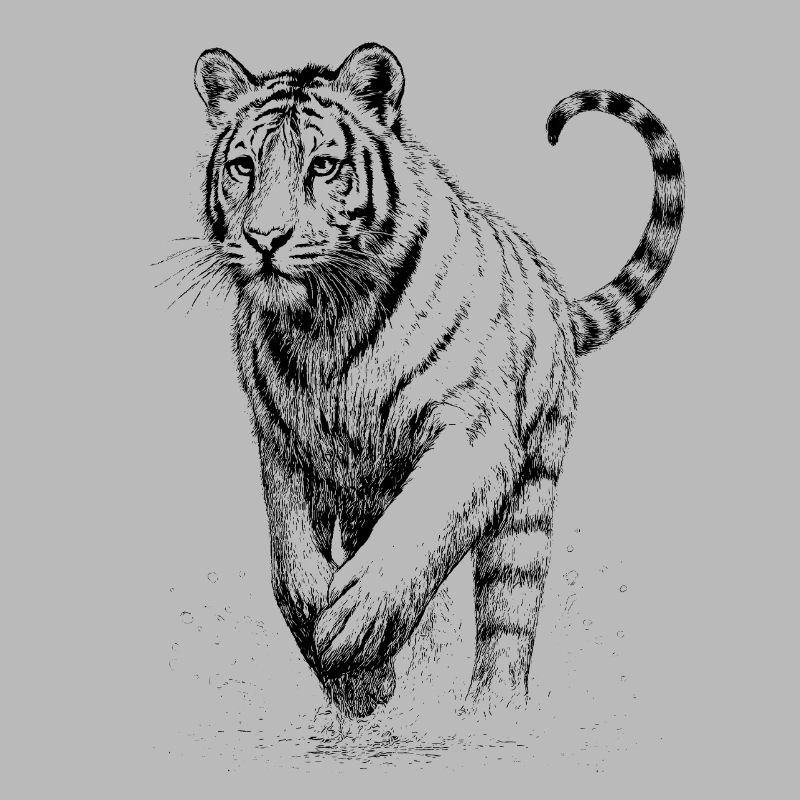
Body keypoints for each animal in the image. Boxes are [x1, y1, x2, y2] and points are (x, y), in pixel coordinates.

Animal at [187, 43, 684, 718]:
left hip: (531, 491)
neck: (323, 323)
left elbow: (419, 527)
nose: (264, 239)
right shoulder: (283, 441)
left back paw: (492, 713)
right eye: (243, 166)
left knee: (509, 609)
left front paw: (355, 626)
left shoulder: (474, 431)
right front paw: (351, 675)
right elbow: (289, 557)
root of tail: (556, 296)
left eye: (322, 166)